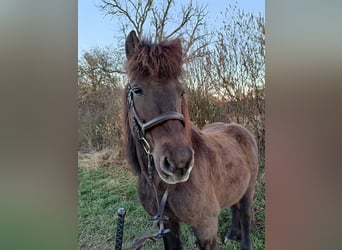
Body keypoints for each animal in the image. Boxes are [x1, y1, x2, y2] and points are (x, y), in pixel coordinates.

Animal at [123, 30, 260, 249]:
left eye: (181, 91)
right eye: (137, 90)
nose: (179, 163)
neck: (163, 187)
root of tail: (240, 129)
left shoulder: (205, 228)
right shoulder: (168, 225)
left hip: (249, 189)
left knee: (245, 214)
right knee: (234, 207)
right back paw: (232, 234)